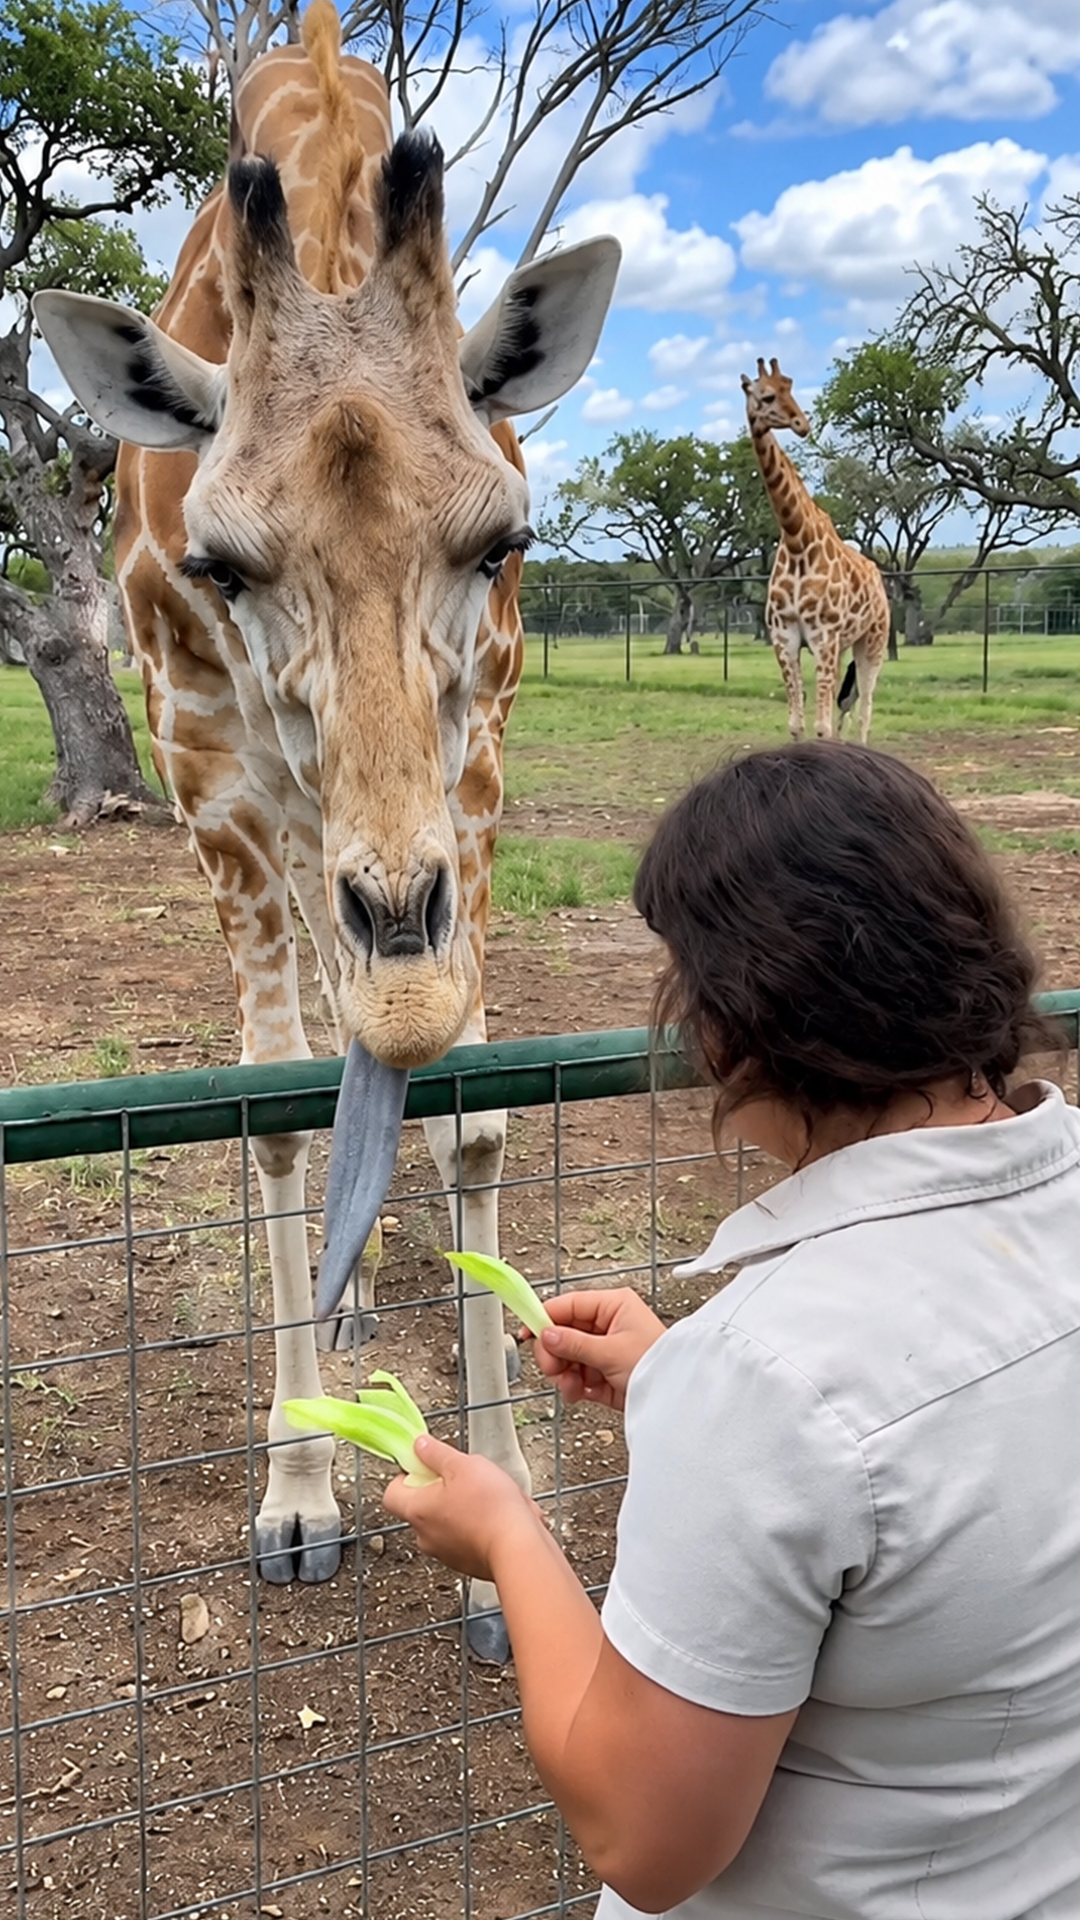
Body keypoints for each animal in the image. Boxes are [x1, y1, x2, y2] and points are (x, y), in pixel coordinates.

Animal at [34, 0, 619, 1659]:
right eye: (221, 564)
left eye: (501, 543)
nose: (408, 975)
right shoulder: (214, 779)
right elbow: (277, 1108)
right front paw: (298, 1492)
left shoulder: (472, 756)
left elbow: (475, 1116)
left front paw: (505, 1530)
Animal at [742, 358, 889, 742]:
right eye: (766, 396)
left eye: (790, 386)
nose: (801, 424)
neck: (797, 540)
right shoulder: (785, 638)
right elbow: (798, 724)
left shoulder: (823, 637)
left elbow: (822, 728)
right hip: (842, 644)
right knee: (845, 701)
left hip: (873, 639)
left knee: (865, 706)